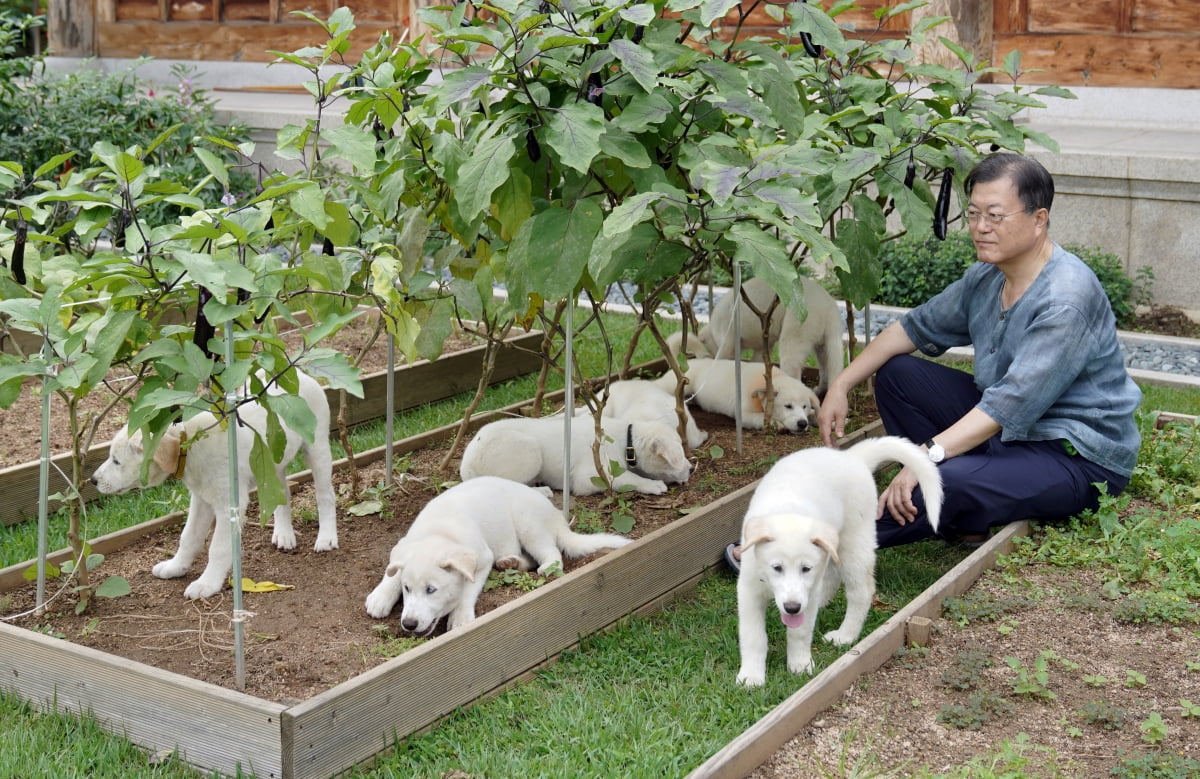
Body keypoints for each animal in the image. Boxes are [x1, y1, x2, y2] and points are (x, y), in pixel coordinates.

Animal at [90, 367, 338, 597]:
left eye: (116, 461)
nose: (92, 480)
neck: (190, 445)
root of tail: (299, 374)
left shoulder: (228, 504)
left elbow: (217, 548)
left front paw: (206, 584)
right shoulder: (201, 499)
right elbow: (188, 537)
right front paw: (175, 567)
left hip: (317, 449)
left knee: (325, 496)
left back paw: (326, 537)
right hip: (271, 465)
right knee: (282, 495)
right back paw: (284, 534)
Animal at [362, 472, 628, 633]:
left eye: (431, 590)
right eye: (407, 589)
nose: (408, 624)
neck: (439, 533)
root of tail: (557, 517)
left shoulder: (482, 558)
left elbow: (468, 589)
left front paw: (460, 617)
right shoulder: (406, 546)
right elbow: (394, 570)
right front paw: (380, 596)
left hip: (528, 524)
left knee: (552, 553)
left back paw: (546, 566)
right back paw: (510, 562)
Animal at [458, 412, 691, 492]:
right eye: (678, 455)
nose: (691, 469)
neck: (627, 439)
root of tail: (466, 464)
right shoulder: (590, 477)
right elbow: (627, 479)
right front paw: (653, 485)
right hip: (530, 452)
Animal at [734, 436, 940, 686]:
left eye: (806, 568)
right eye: (776, 568)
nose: (792, 608)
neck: (788, 509)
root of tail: (852, 457)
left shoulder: (808, 588)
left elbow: (800, 632)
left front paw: (800, 665)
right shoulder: (748, 589)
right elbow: (753, 636)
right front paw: (751, 676)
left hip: (855, 543)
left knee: (860, 591)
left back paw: (845, 635)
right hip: (832, 547)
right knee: (832, 576)